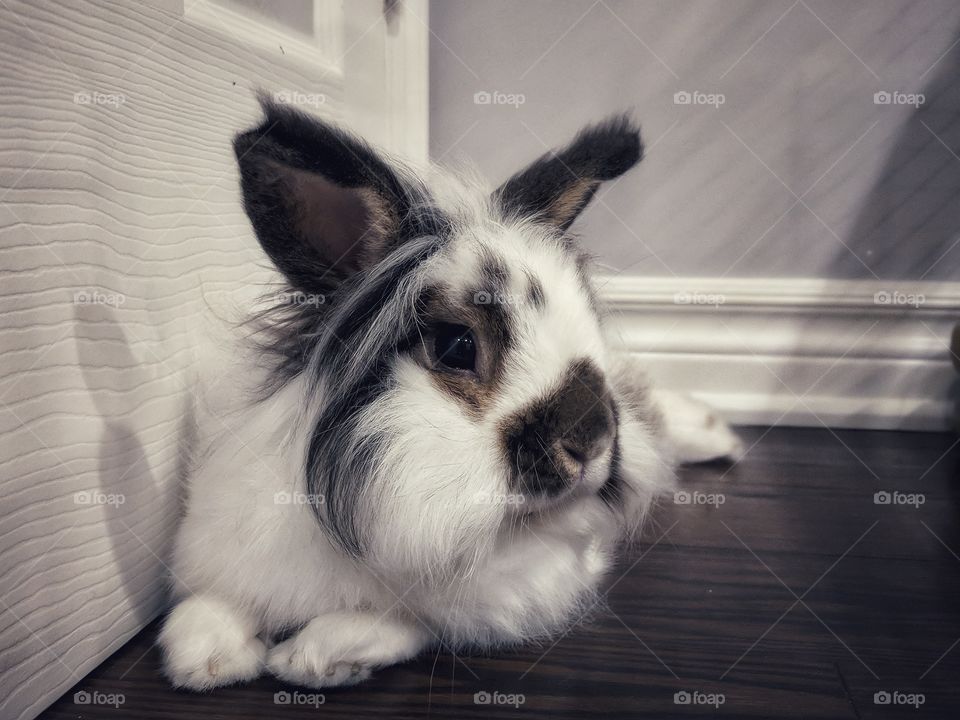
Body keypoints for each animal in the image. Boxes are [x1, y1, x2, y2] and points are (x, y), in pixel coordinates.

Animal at [157, 97, 743, 690]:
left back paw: (718, 433)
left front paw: (312, 657)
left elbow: (398, 623)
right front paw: (206, 660)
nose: (593, 440)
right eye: (457, 346)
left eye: (592, 326)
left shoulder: (497, 600)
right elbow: (203, 609)